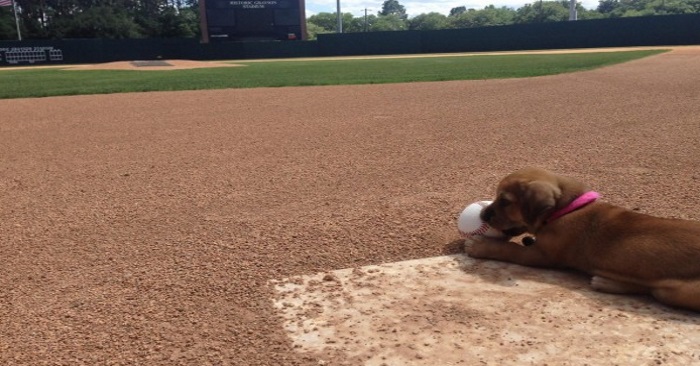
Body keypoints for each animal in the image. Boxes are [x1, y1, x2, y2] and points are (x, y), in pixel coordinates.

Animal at [464, 167, 700, 310]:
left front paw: (480, 245)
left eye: (505, 201)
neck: (567, 209)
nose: (482, 215)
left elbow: (510, 250)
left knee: (650, 290)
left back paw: (606, 282)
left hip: (677, 292)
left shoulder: (542, 256)